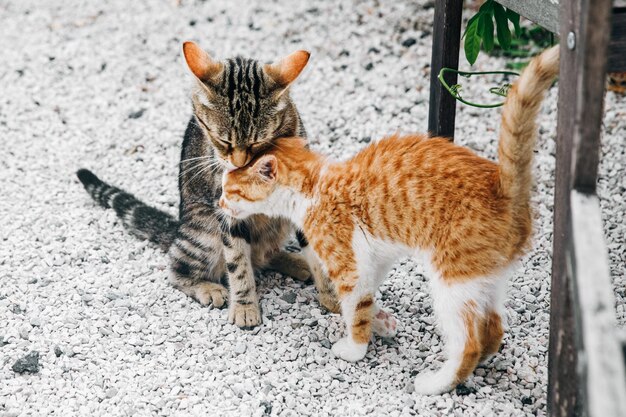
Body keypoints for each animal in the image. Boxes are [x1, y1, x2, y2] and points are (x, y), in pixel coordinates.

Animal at [78, 42, 342, 328]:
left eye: (257, 142)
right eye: (222, 141)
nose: (238, 163)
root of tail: (178, 228)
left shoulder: (303, 196)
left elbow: (315, 252)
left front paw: (332, 297)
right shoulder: (228, 210)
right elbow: (237, 264)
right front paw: (245, 306)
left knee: (262, 255)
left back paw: (295, 262)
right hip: (205, 232)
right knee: (178, 268)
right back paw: (208, 287)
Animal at [217, 47, 560, 392]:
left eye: (229, 190)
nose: (218, 202)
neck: (313, 187)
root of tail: (502, 187)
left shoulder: (348, 263)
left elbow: (354, 305)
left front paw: (355, 347)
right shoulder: (372, 258)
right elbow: (364, 299)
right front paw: (379, 321)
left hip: (452, 280)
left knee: (469, 342)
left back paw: (438, 381)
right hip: (485, 278)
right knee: (493, 328)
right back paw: (483, 360)